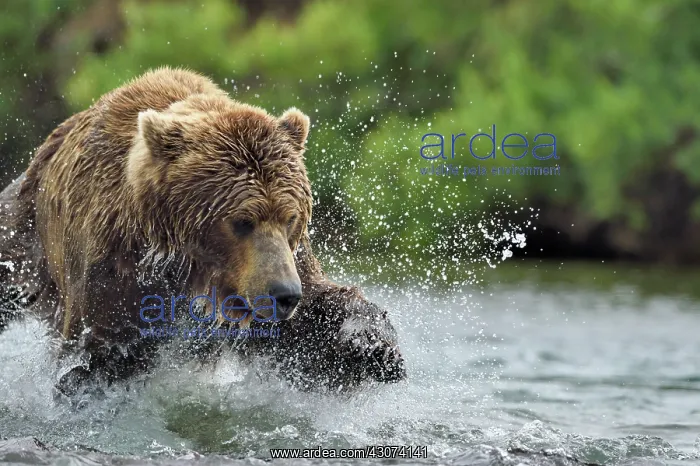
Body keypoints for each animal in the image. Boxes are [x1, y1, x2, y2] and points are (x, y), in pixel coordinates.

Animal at [0, 67, 405, 394]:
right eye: (242, 220)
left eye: (290, 218)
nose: (284, 295)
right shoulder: (115, 264)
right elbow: (104, 339)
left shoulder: (286, 260)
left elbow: (312, 327)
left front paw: (372, 345)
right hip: (24, 235)